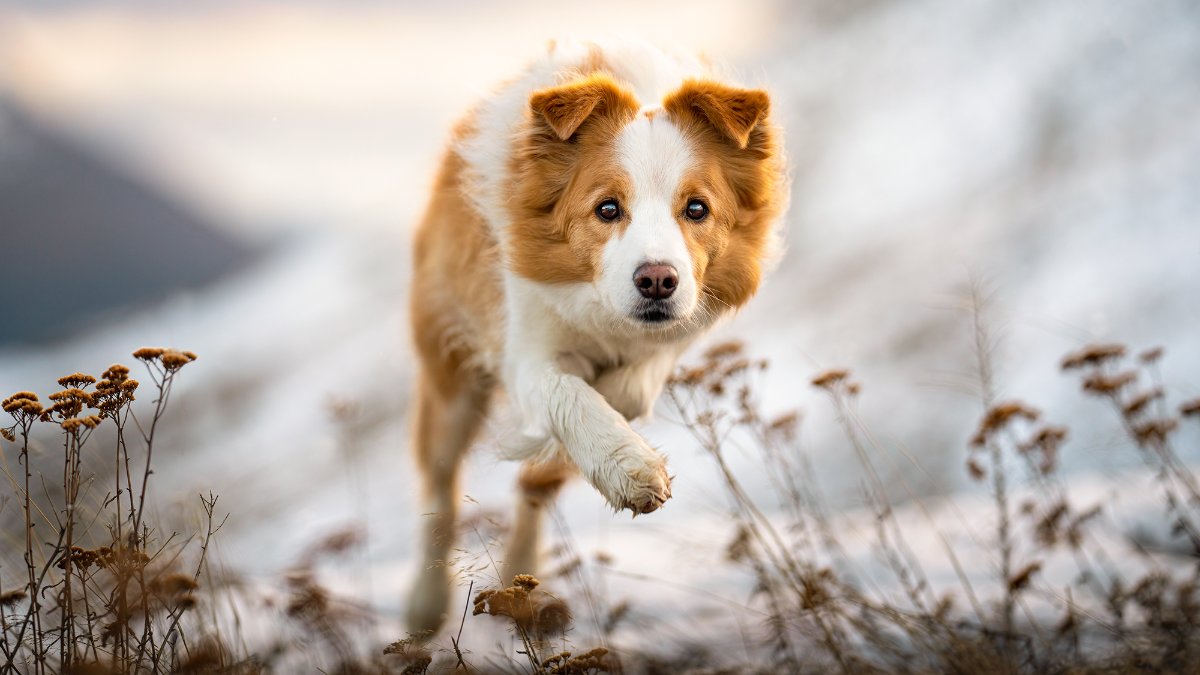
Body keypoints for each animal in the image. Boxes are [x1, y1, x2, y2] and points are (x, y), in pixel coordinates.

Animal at [408, 40, 792, 629]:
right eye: (607, 208)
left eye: (697, 208)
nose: (657, 280)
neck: (604, 317)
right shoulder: (525, 348)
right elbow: (568, 391)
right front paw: (628, 465)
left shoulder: (673, 338)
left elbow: (627, 392)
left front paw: (596, 440)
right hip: (449, 373)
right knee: (441, 488)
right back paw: (426, 606)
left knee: (531, 496)